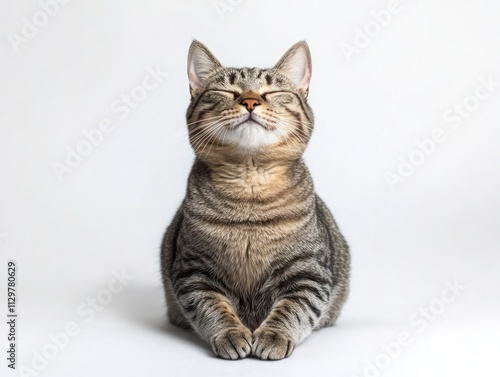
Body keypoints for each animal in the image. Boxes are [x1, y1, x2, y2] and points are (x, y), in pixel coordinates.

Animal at [162, 39, 350, 360]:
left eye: (270, 92)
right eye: (227, 92)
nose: (250, 102)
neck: (250, 191)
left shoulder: (308, 271)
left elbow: (293, 308)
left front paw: (274, 335)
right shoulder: (193, 270)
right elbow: (212, 307)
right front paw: (230, 333)